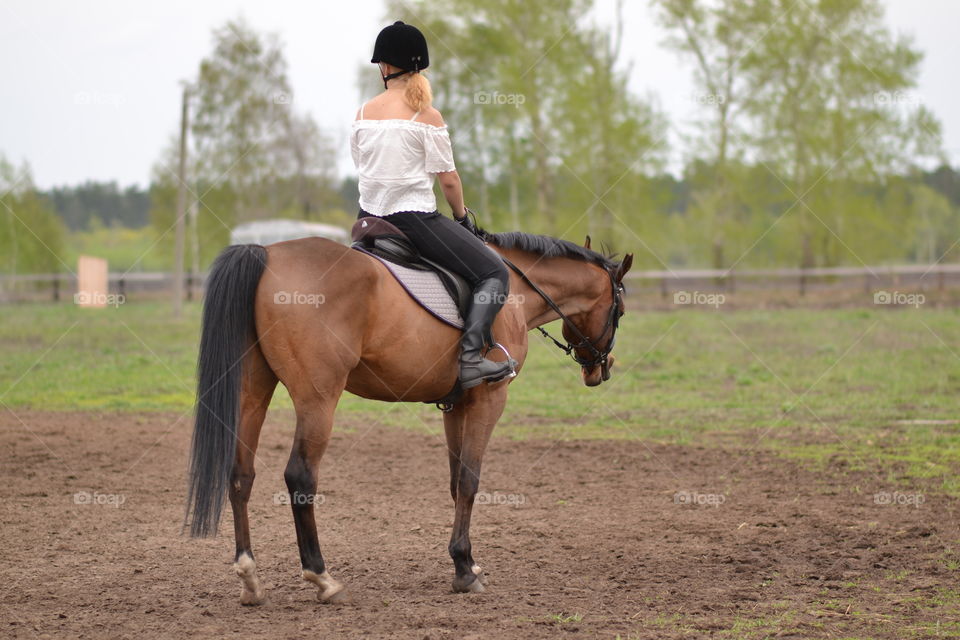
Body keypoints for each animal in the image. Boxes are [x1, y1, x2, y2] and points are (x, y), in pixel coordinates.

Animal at [184, 227, 633, 604]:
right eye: (621, 310)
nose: (602, 368)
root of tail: (266, 253)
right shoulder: (489, 399)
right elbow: (469, 481)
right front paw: (464, 572)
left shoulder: (457, 405)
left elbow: (454, 483)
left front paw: (467, 563)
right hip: (318, 398)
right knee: (300, 477)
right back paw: (322, 577)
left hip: (252, 391)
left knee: (240, 475)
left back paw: (250, 578)